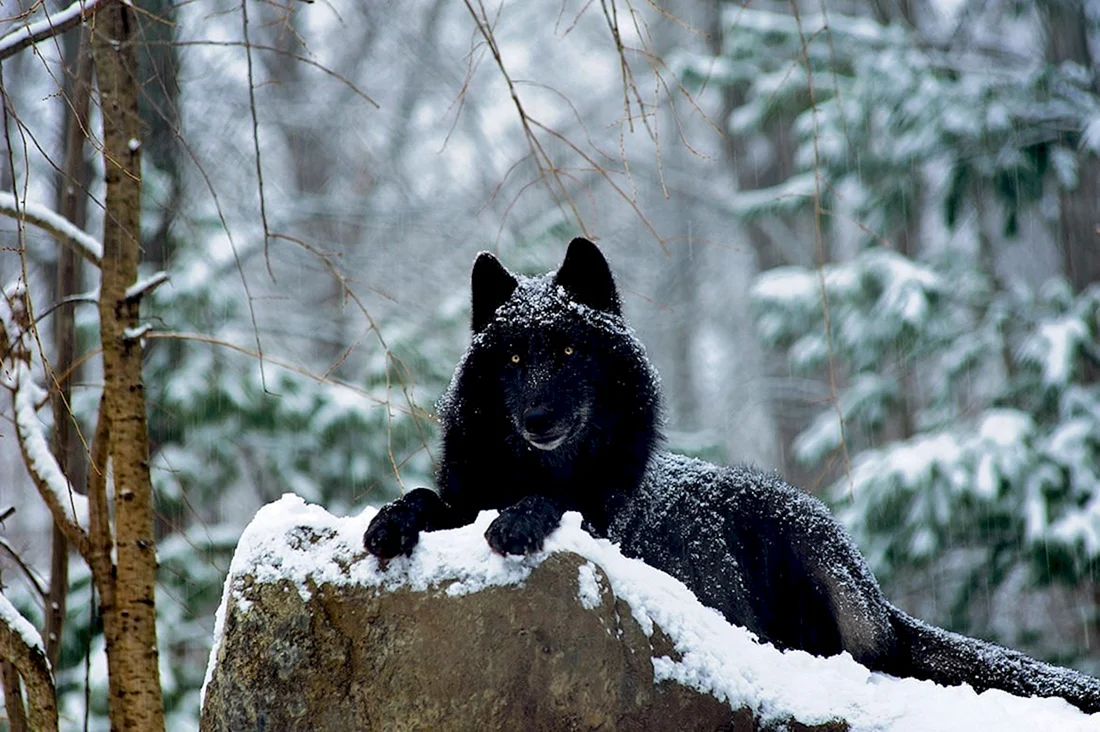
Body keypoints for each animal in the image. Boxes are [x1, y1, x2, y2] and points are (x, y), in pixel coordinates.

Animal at [364, 237, 1100, 713]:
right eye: (514, 358)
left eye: (569, 350)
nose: (538, 418)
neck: (541, 465)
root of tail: (882, 602)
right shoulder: (465, 495)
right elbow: (429, 498)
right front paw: (391, 520)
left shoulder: (603, 522)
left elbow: (554, 503)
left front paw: (520, 518)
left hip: (802, 536)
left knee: (859, 657)